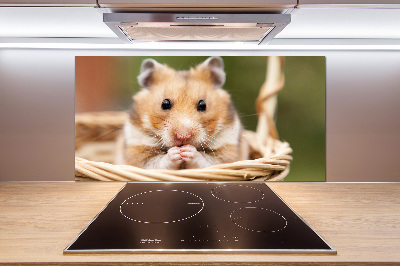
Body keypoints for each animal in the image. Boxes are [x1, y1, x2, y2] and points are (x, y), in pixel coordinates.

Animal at [115, 56, 247, 170]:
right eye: (165, 104)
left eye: (203, 105)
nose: (183, 136)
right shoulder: (137, 151)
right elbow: (158, 162)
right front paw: (176, 153)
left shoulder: (227, 151)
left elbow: (207, 161)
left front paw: (187, 151)